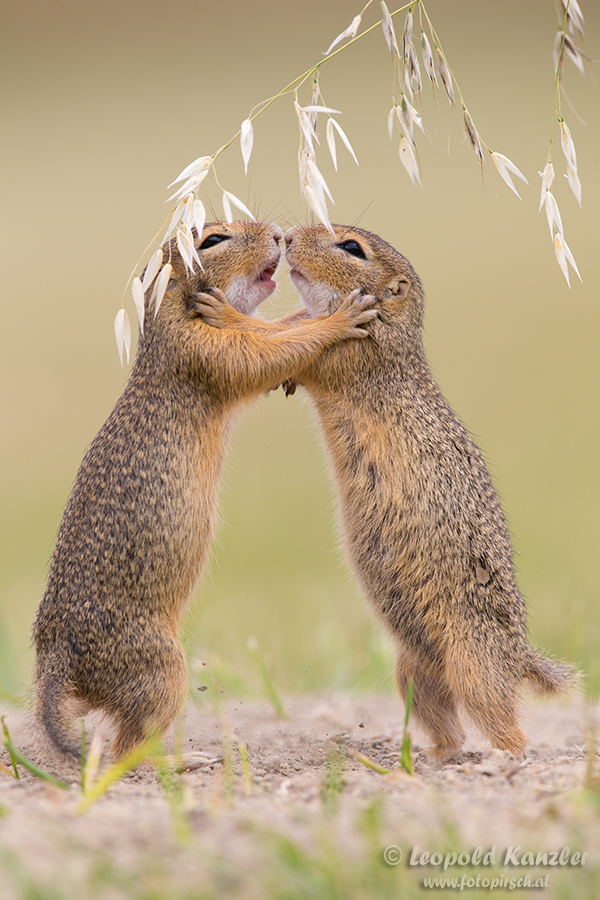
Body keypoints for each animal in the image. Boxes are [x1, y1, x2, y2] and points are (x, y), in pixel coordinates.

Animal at [32, 220, 378, 760]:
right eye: (212, 240)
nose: (277, 232)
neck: (170, 318)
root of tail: (57, 657)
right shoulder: (203, 350)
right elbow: (260, 356)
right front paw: (340, 318)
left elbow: (270, 335)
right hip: (161, 669)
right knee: (127, 745)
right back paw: (185, 761)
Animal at [197, 221, 576, 756]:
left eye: (352, 248)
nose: (288, 236)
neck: (392, 330)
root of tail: (519, 654)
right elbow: (290, 331)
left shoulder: (346, 355)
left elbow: (291, 340)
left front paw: (223, 312)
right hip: (413, 671)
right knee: (448, 725)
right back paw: (430, 757)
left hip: (475, 668)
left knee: (504, 724)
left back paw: (508, 759)